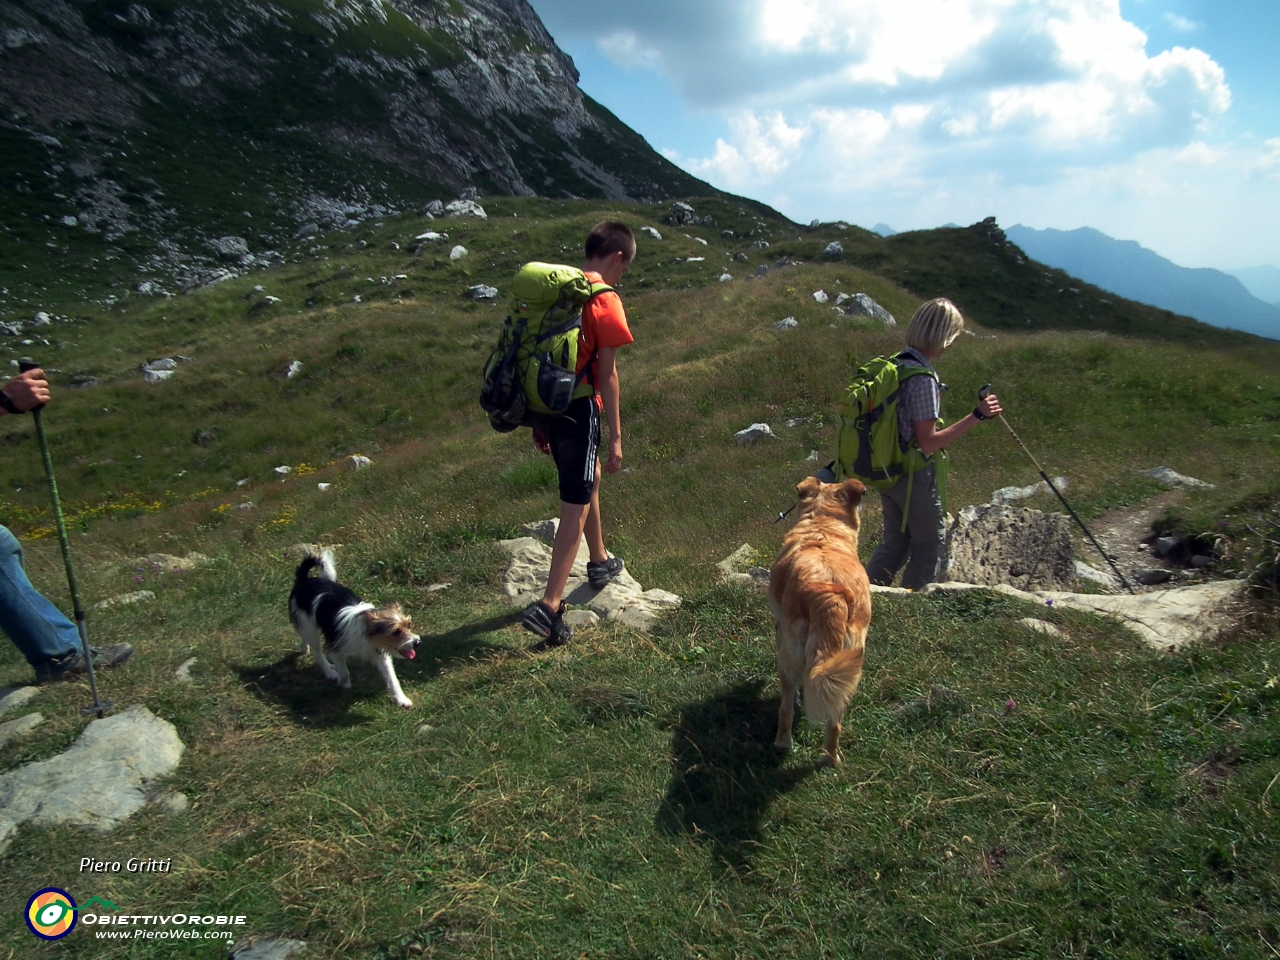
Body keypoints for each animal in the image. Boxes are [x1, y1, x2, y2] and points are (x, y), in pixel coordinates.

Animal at [286, 552, 419, 711]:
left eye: (408, 624)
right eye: (396, 632)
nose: (417, 642)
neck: (366, 632)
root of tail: (304, 580)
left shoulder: (380, 655)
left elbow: (392, 679)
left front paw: (401, 699)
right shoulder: (336, 650)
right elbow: (344, 671)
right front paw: (344, 683)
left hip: (307, 626)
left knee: (304, 637)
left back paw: (303, 647)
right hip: (309, 626)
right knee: (317, 653)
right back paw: (330, 672)